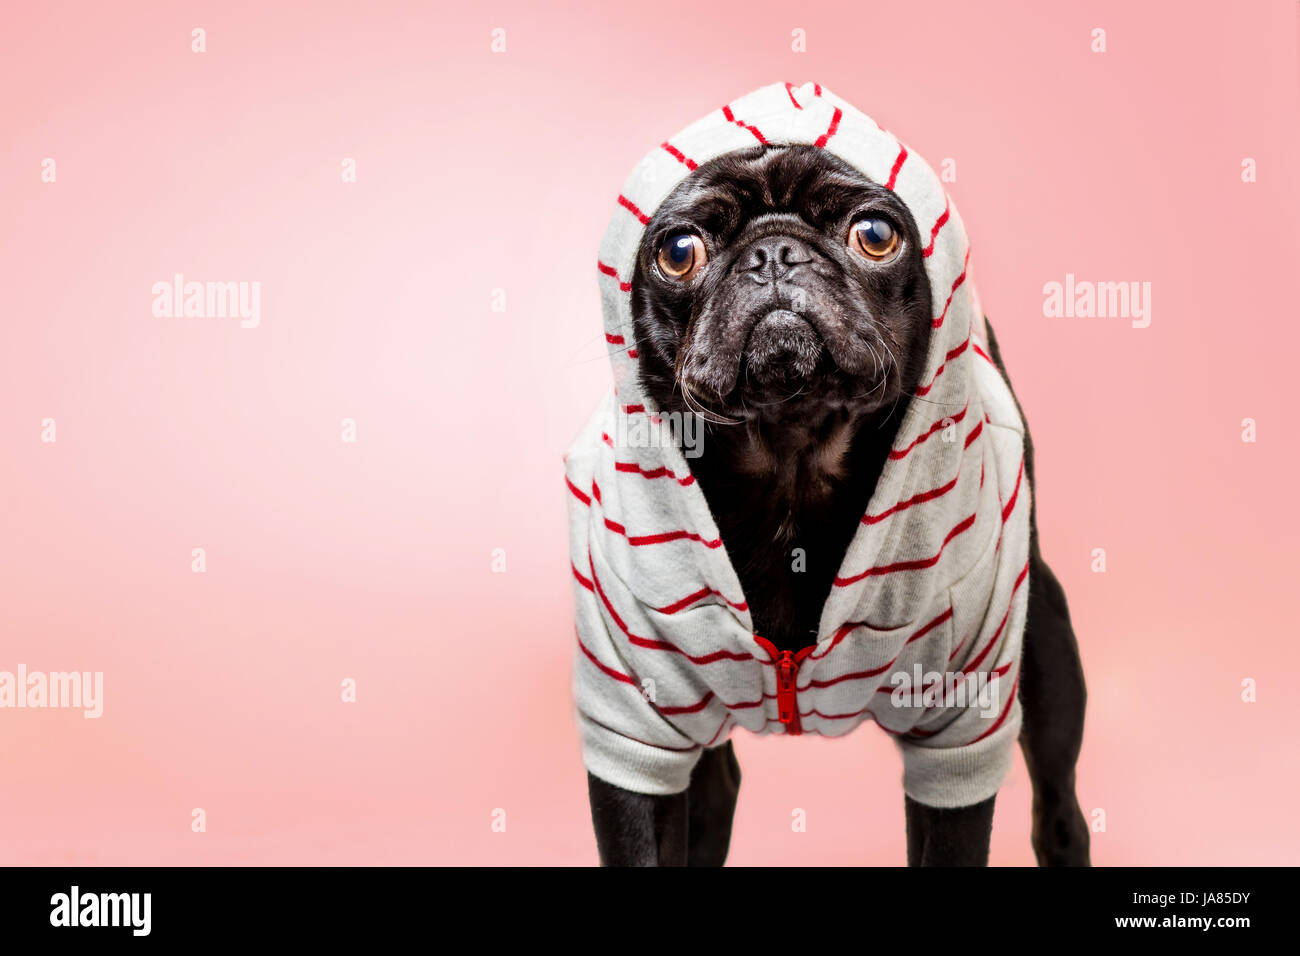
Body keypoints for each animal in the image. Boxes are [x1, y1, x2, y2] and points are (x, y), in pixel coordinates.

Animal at [574, 89, 1092, 868]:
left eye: (875, 233)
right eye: (678, 252)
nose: (773, 252)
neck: (790, 464)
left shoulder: (957, 733)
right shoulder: (632, 731)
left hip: (1048, 653)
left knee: (1058, 805)